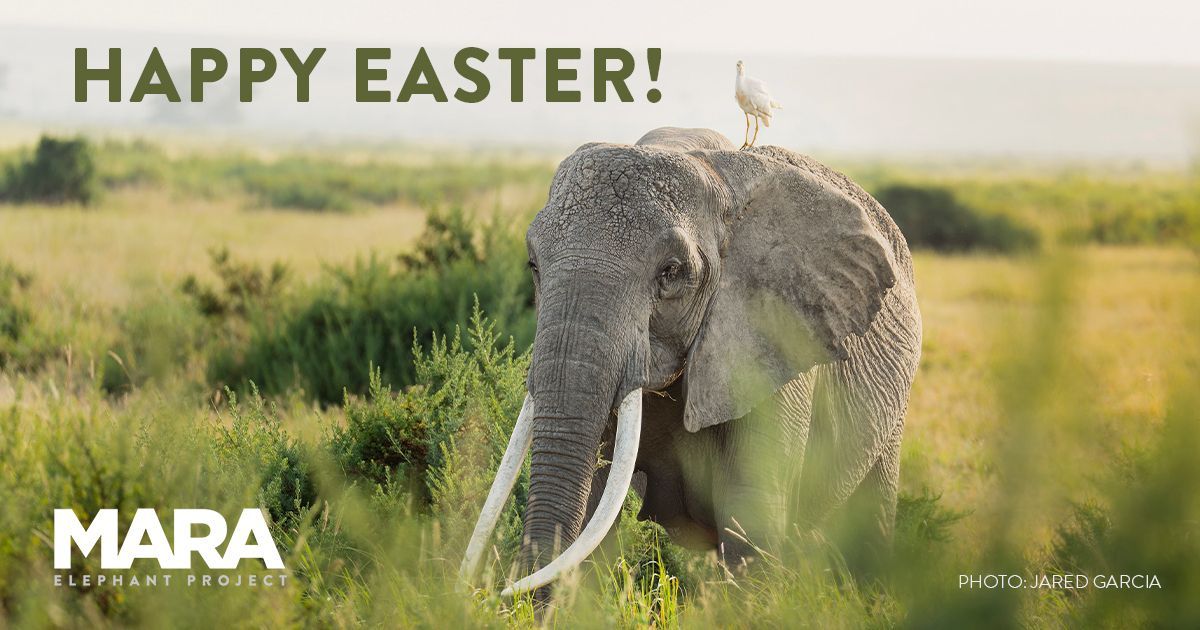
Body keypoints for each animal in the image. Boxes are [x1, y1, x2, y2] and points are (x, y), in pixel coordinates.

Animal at [460, 127, 922, 597]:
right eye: (533, 265)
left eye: (671, 272)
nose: (495, 591)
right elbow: (591, 512)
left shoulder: (776, 331)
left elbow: (752, 516)